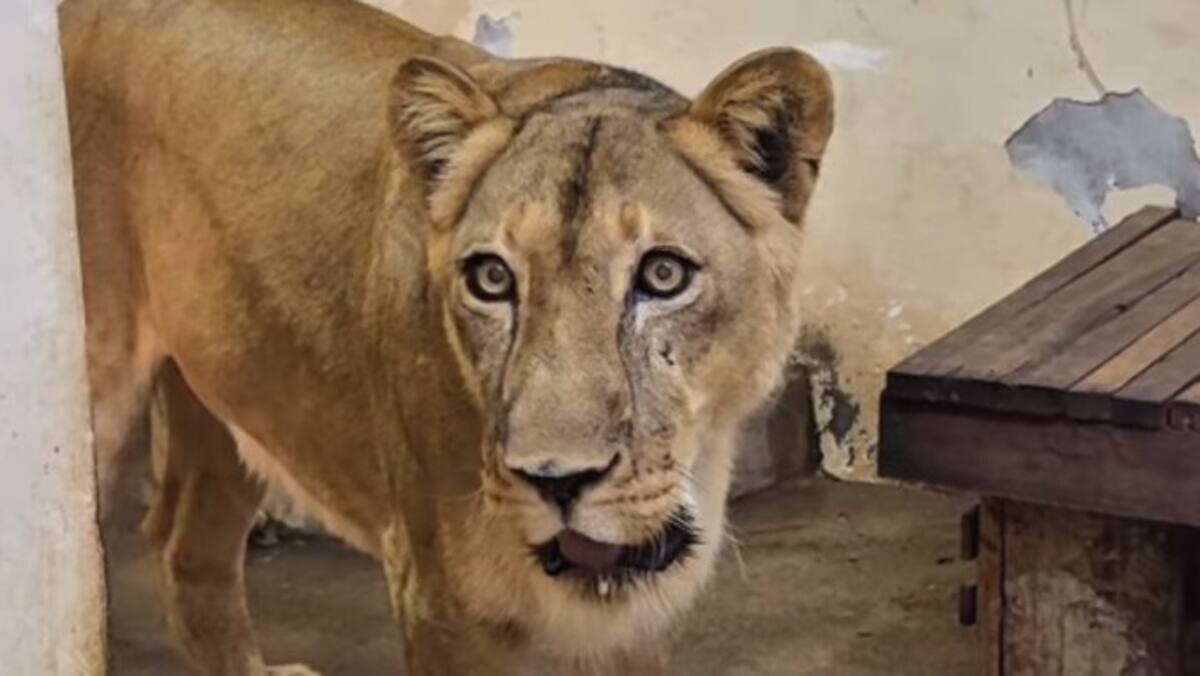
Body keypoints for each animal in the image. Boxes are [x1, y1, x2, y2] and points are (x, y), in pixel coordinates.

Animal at [59, 0, 834, 673]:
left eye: (663, 275)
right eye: (492, 279)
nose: (557, 481)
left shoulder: (635, 625)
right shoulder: (443, 599)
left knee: (187, 545)